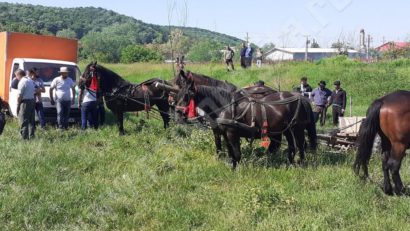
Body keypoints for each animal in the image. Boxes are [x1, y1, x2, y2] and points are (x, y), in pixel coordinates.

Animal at [174, 82, 318, 169]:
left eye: (186, 95)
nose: (177, 112)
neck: (226, 107)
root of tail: (302, 99)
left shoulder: (232, 133)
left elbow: (237, 153)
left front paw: (236, 169)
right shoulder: (225, 134)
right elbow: (231, 152)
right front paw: (231, 166)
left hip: (297, 129)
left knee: (301, 145)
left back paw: (301, 164)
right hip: (287, 130)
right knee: (292, 146)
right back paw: (289, 164)